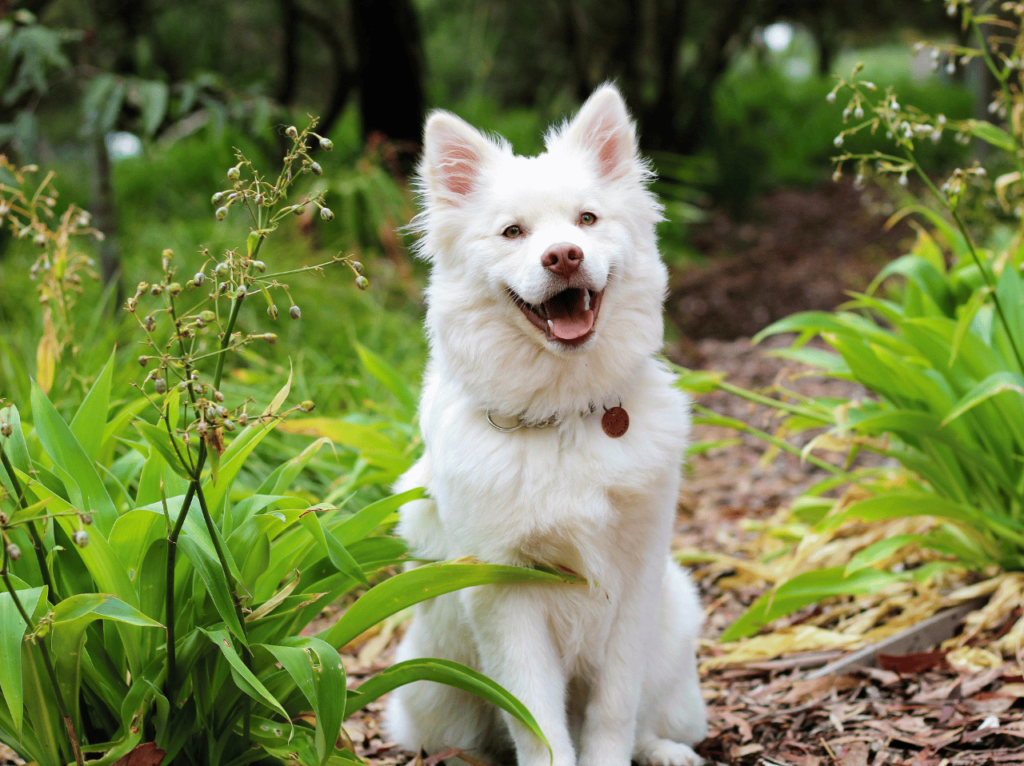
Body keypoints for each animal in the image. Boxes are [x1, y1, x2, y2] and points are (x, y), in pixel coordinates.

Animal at [387, 85, 708, 766]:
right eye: (514, 232)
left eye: (586, 220)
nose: (563, 256)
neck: (565, 416)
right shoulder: (504, 593)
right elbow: (536, 722)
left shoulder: (635, 581)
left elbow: (614, 711)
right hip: (430, 688)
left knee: (650, 719)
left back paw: (665, 750)